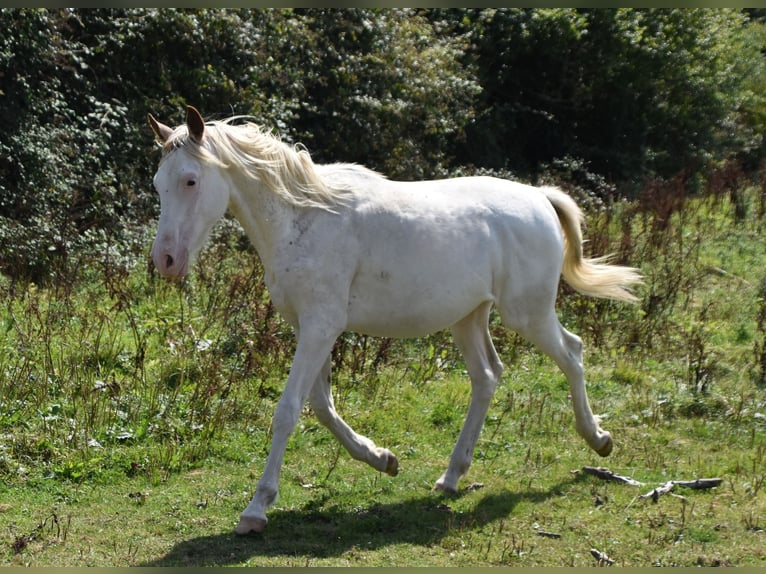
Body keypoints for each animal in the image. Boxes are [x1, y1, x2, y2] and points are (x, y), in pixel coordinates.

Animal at [148, 107, 640, 536]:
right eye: (158, 184)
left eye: (190, 180)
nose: (165, 261)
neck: (301, 217)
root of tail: (539, 197)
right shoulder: (311, 327)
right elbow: (322, 406)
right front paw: (382, 458)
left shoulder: (321, 325)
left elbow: (288, 411)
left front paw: (256, 510)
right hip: (468, 317)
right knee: (487, 376)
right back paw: (451, 477)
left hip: (527, 313)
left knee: (572, 353)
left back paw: (598, 439)